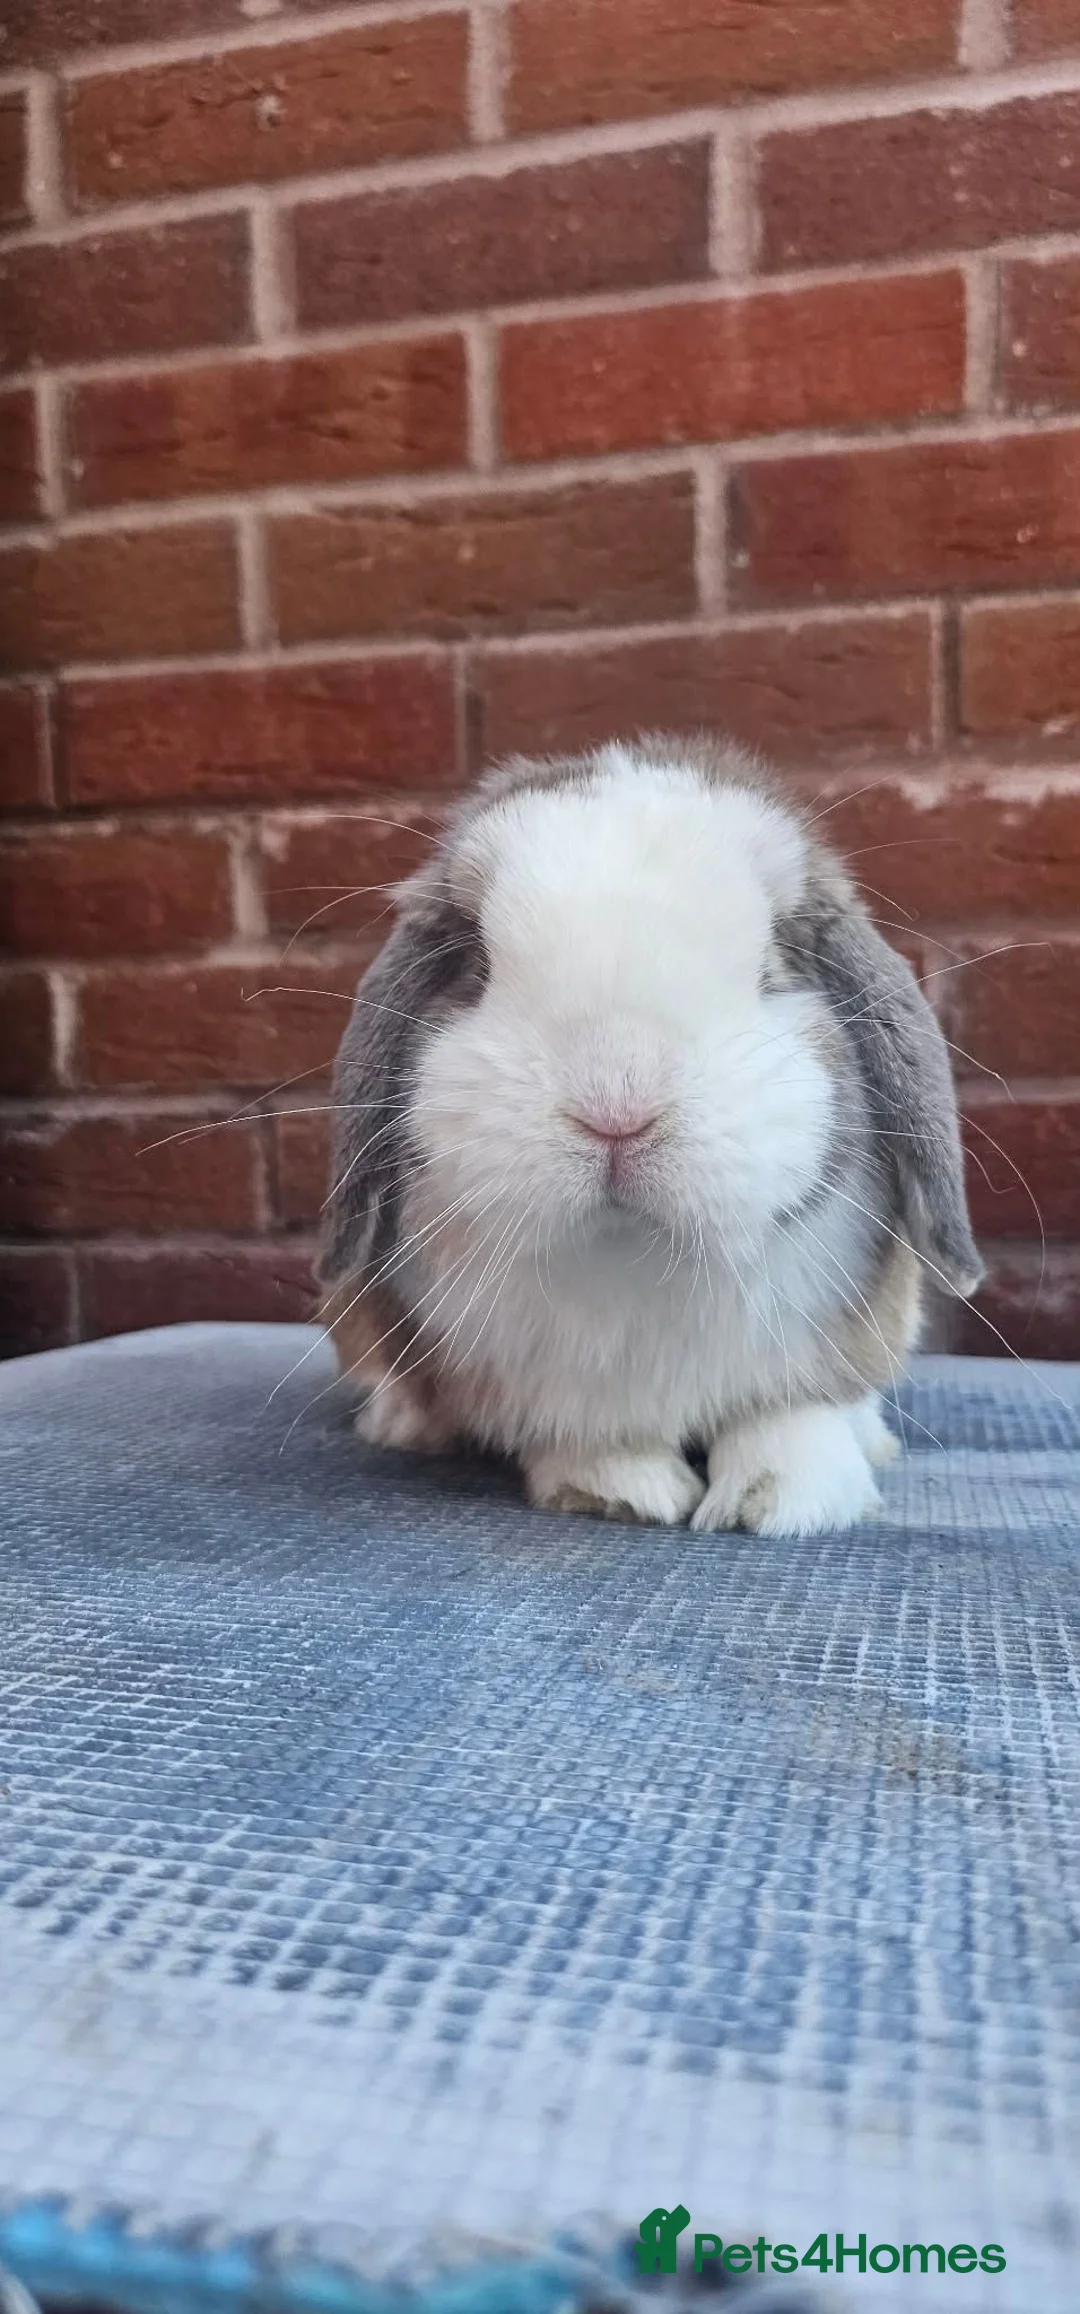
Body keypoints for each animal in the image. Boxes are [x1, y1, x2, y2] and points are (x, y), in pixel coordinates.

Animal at [319, 738, 981, 1538]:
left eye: (773, 964)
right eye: (477, 965)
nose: (617, 1103)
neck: (633, 1260)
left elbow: (794, 1417)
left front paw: (783, 1503)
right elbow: (588, 1438)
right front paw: (620, 1489)